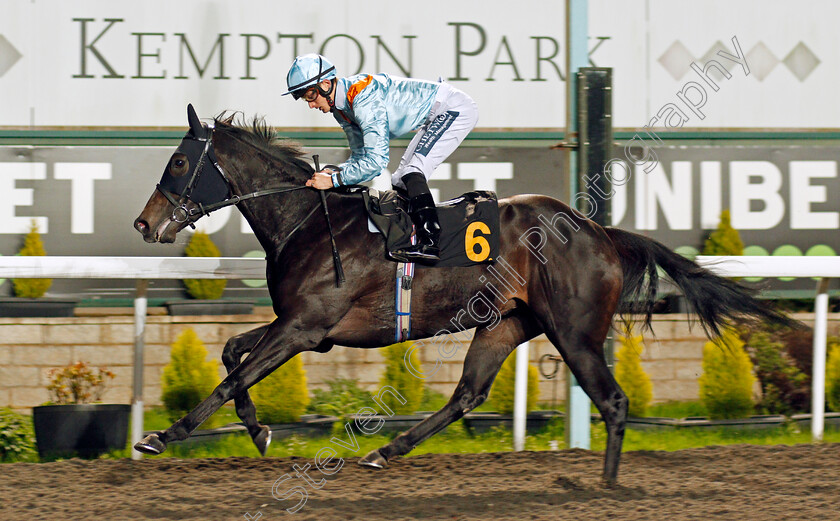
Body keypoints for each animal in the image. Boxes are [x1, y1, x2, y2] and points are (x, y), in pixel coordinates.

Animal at [131, 104, 796, 484]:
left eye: (179, 161)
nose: (143, 223)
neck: (309, 220)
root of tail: (599, 231)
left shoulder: (304, 328)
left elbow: (230, 377)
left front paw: (161, 435)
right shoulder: (300, 328)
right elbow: (231, 357)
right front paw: (259, 430)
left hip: (575, 333)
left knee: (612, 401)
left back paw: (607, 489)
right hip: (505, 323)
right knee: (468, 395)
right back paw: (386, 451)